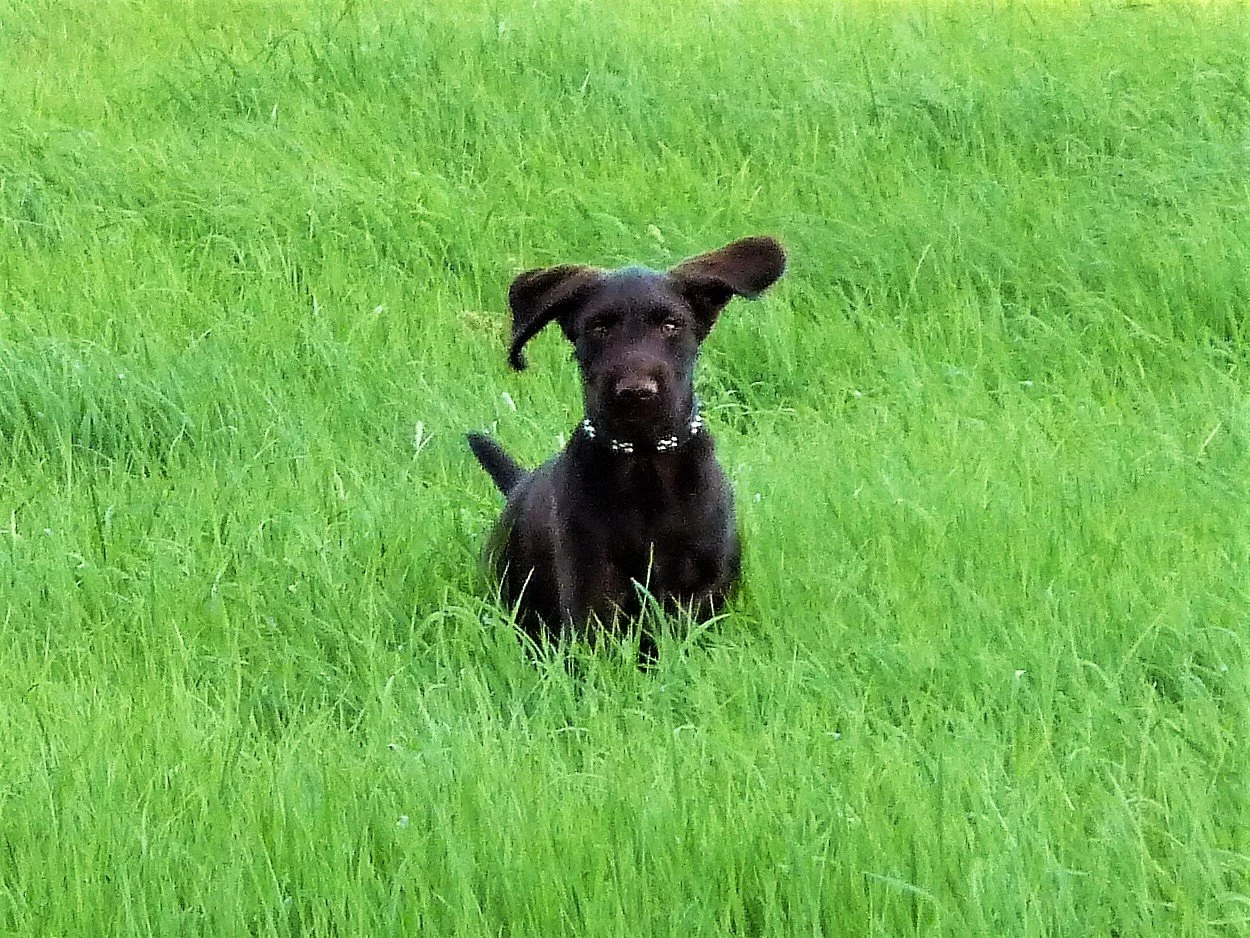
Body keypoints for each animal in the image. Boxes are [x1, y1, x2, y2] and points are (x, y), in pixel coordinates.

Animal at [467, 236, 786, 645]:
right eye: (599, 328)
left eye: (670, 325)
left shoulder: (703, 589)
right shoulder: (592, 589)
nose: (635, 393)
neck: (644, 461)